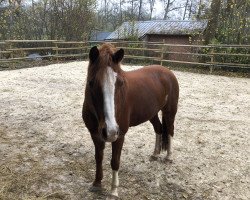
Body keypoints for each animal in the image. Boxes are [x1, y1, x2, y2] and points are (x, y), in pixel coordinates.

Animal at [83, 43, 179, 198]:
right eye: (91, 83)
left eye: (120, 83)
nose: (110, 131)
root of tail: (167, 71)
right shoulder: (95, 134)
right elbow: (98, 157)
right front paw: (97, 184)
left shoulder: (120, 135)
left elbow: (115, 161)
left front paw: (114, 191)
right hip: (152, 113)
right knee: (158, 129)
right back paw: (155, 154)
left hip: (169, 112)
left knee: (170, 130)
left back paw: (168, 157)